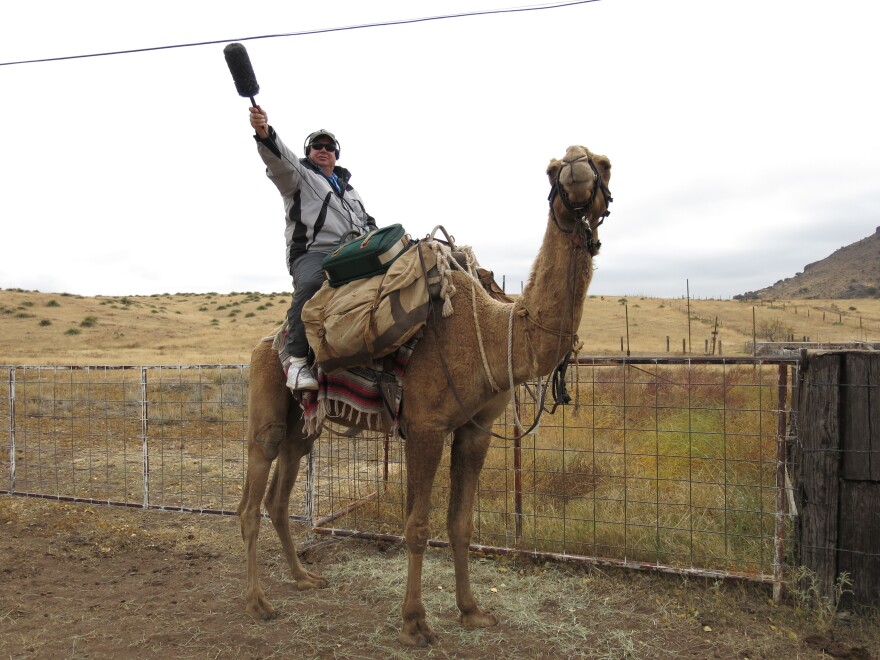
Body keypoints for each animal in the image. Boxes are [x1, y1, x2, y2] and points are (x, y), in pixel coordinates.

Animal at [237, 144, 616, 644]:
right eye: (552, 171)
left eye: (604, 164)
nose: (575, 164)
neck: (495, 332)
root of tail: (268, 342)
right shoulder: (425, 427)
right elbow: (417, 526)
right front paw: (415, 623)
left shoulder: (475, 429)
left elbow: (461, 524)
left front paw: (472, 610)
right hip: (267, 409)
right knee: (250, 502)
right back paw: (258, 602)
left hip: (303, 427)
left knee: (278, 500)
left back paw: (304, 578)